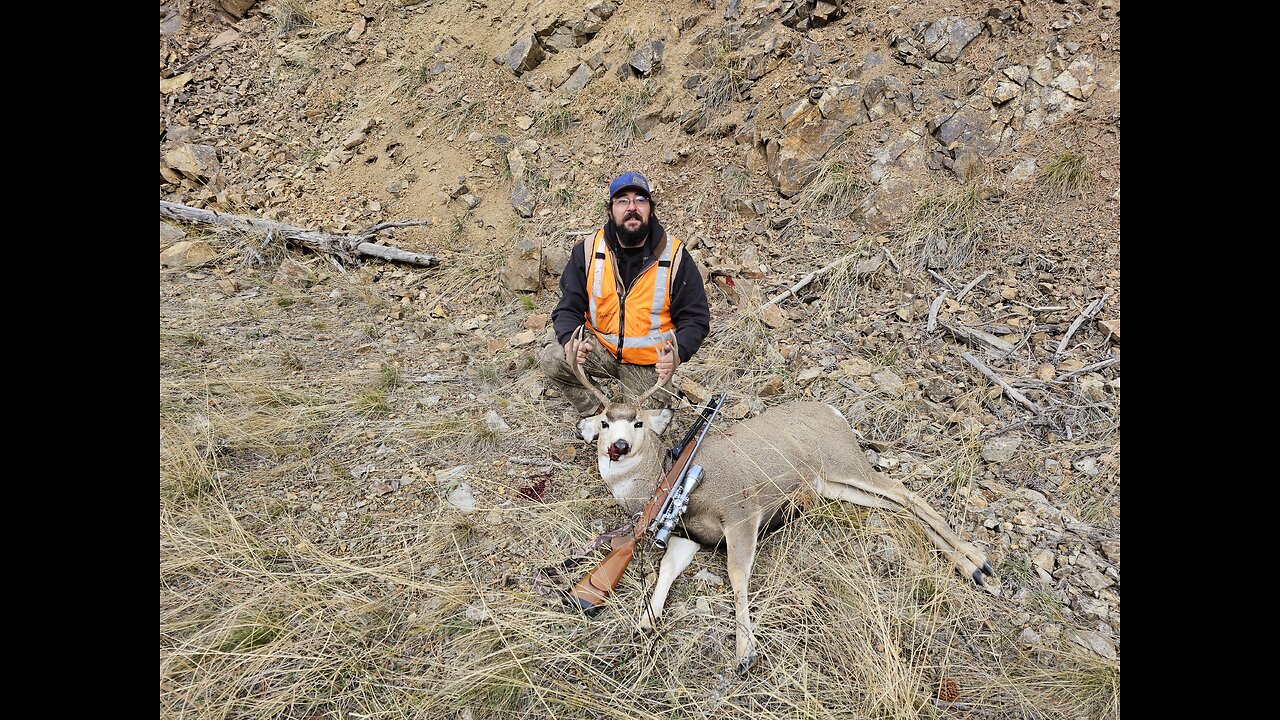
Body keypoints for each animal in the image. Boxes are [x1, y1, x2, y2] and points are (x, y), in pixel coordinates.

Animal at [573, 356, 998, 671]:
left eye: (638, 422)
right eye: (605, 423)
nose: (618, 446)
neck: (665, 476)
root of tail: (834, 412)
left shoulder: (741, 511)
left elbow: (737, 574)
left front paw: (745, 652)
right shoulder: (688, 535)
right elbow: (666, 568)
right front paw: (645, 620)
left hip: (844, 461)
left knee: (903, 491)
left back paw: (979, 563)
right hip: (831, 483)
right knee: (897, 505)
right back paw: (970, 565)